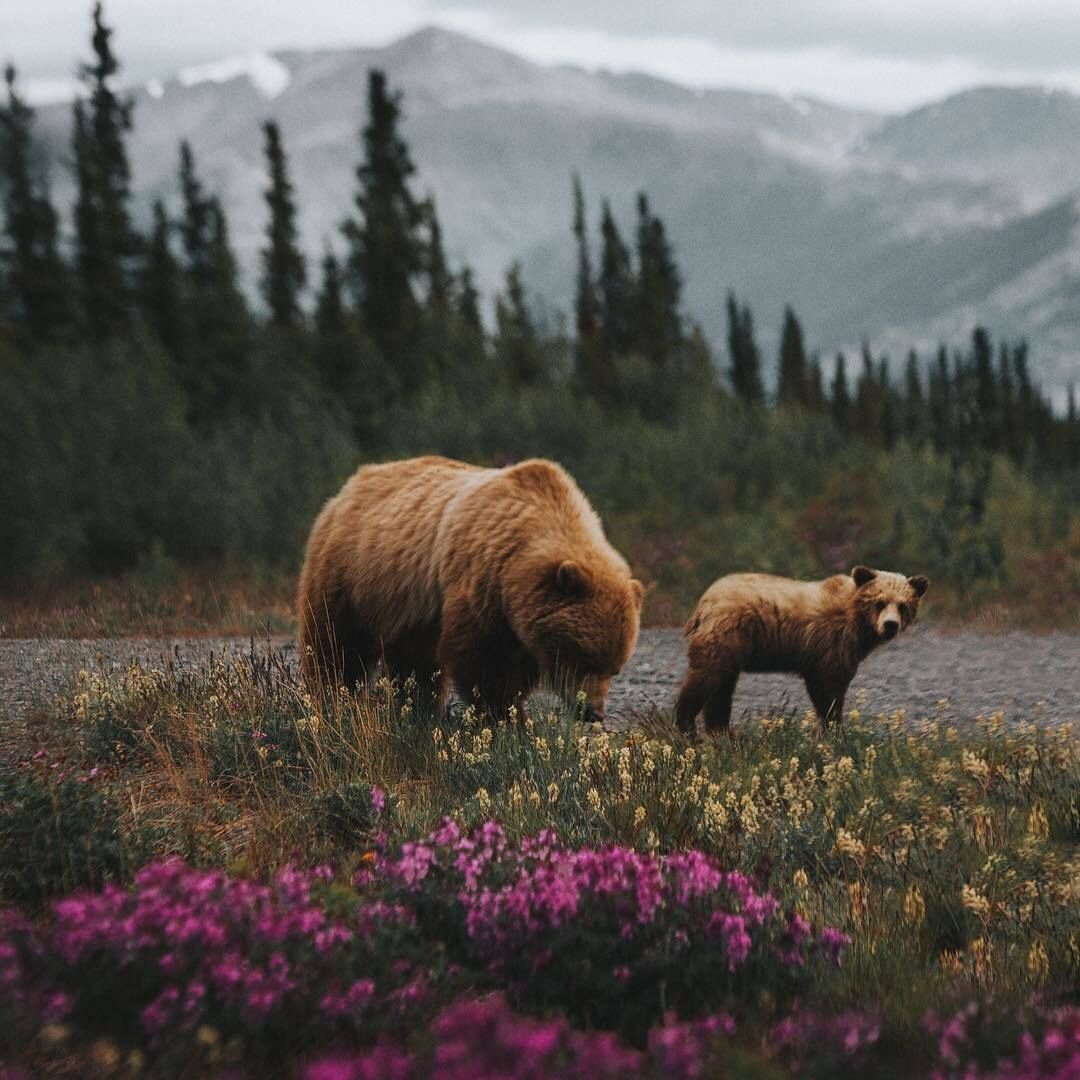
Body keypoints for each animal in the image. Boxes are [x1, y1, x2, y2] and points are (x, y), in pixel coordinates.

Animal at [297, 455, 644, 719]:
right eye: (584, 659)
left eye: (615, 669)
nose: (593, 712)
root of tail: (349, 486)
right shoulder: (482, 584)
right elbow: (485, 662)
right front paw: (505, 715)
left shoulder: (520, 618)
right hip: (349, 576)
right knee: (336, 644)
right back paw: (332, 698)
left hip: (408, 609)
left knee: (413, 663)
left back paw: (417, 709)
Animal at [675, 566, 929, 737]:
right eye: (879, 602)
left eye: (903, 605)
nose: (890, 625)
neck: (858, 622)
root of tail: (706, 600)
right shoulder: (832, 643)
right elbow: (829, 688)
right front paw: (834, 730)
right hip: (726, 633)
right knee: (705, 679)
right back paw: (688, 728)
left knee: (721, 689)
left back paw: (722, 733)